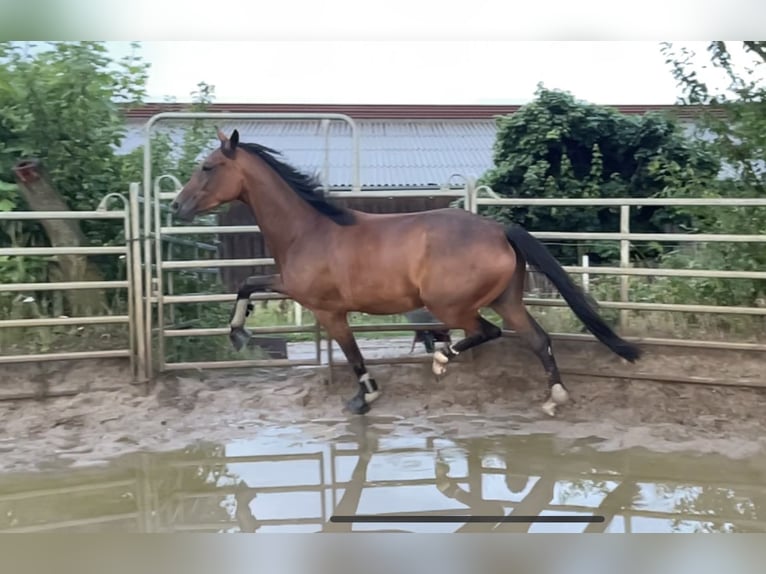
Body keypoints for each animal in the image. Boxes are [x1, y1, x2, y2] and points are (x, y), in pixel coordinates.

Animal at [171, 129, 644, 418]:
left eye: (208, 167)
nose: (177, 206)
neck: (309, 229)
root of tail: (498, 229)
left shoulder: (327, 310)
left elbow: (352, 354)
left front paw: (364, 398)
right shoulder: (293, 289)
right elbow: (248, 284)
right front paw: (238, 333)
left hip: (450, 304)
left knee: (484, 332)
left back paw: (442, 359)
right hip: (506, 299)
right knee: (537, 339)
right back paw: (554, 398)